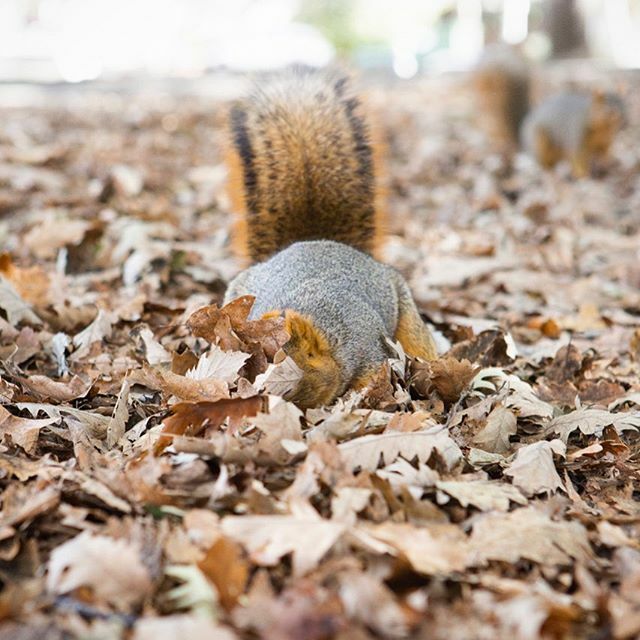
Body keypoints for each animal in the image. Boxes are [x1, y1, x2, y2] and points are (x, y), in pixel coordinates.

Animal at [223, 68, 437, 408]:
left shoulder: (371, 349)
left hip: (407, 316)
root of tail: (319, 241)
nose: (254, 403)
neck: (327, 330)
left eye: (287, 386)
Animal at [473, 45, 625, 177]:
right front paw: (583, 175)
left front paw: (607, 162)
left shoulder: (606, 141)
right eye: (610, 111)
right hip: (541, 142)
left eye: (626, 107)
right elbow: (578, 157)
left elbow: (605, 152)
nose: (624, 123)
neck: (603, 129)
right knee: (544, 163)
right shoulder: (576, 135)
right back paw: (550, 171)